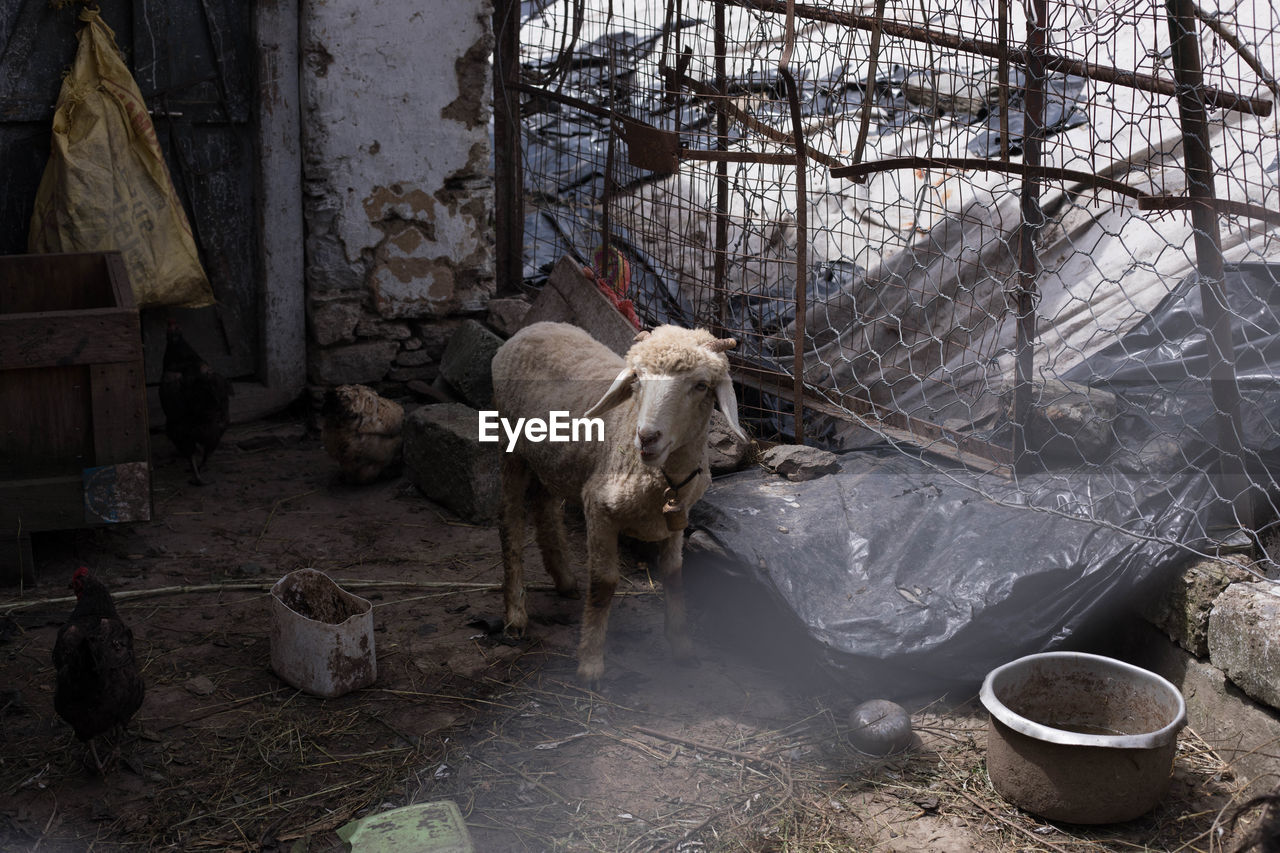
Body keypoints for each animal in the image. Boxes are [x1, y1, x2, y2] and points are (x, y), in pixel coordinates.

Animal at [491, 320, 747, 686]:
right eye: (637, 377)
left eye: (701, 385)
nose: (647, 437)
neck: (662, 479)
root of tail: (535, 327)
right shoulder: (598, 508)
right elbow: (604, 583)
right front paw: (590, 663)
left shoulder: (678, 517)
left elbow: (673, 574)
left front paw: (682, 646)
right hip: (508, 443)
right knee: (509, 518)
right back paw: (515, 614)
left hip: (554, 461)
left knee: (545, 505)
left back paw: (564, 579)